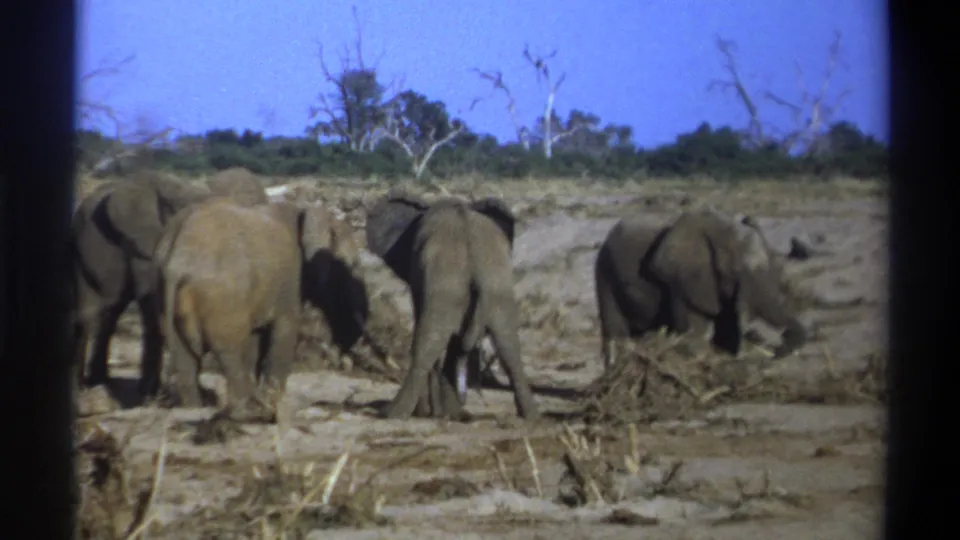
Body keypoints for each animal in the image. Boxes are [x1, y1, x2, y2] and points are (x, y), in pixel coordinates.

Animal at [153, 197, 364, 421]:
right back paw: (244, 411)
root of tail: (178, 257)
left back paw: (195, 408)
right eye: (351, 266)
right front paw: (272, 401)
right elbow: (285, 330)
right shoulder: (290, 280)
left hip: (163, 291)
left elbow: (256, 340)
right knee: (230, 350)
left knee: (184, 355)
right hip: (223, 298)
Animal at [364, 191, 539, 421]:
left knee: (428, 343)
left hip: (448, 286)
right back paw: (530, 416)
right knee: (509, 345)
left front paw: (432, 412)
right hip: (497, 286)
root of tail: (476, 266)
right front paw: (447, 412)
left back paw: (393, 414)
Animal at [594, 208, 807, 371]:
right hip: (604, 271)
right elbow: (693, 331)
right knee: (616, 331)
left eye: (776, 267)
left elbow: (725, 332)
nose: (772, 353)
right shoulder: (682, 279)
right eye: (734, 271)